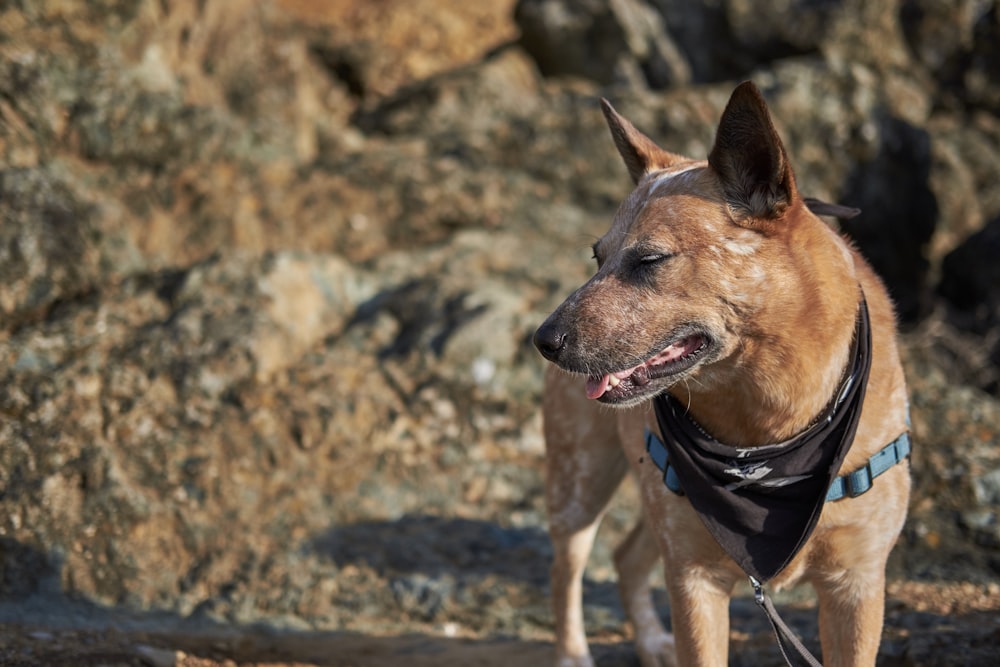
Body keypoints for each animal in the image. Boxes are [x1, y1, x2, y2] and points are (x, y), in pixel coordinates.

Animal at [536, 83, 912, 667]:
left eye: (649, 259)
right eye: (597, 258)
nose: (543, 341)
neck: (767, 426)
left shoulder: (857, 586)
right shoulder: (696, 583)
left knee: (625, 555)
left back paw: (650, 640)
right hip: (581, 482)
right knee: (566, 568)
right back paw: (575, 653)